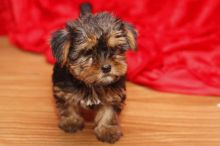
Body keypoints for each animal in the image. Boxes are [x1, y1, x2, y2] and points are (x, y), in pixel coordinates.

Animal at [50, 2, 136, 144]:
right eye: (88, 52)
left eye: (114, 49)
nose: (106, 67)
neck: (92, 84)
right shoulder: (64, 88)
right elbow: (67, 104)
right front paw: (71, 121)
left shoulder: (113, 94)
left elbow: (109, 113)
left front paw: (107, 130)